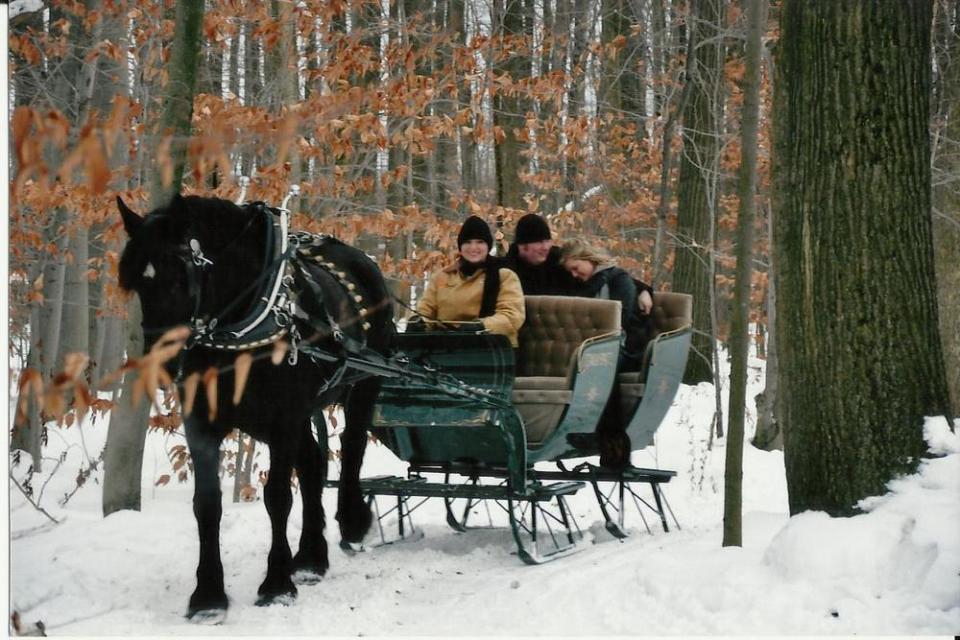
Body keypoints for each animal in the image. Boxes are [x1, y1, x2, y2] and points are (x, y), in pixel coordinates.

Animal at [116, 194, 394, 620]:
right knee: (313, 465)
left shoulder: (283, 420)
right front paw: (208, 595)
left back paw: (351, 522)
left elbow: (278, 497)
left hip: (364, 383)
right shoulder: (203, 421)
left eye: (180, 277)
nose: (162, 367)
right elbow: (207, 504)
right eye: (137, 285)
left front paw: (277, 584)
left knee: (352, 445)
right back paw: (311, 558)